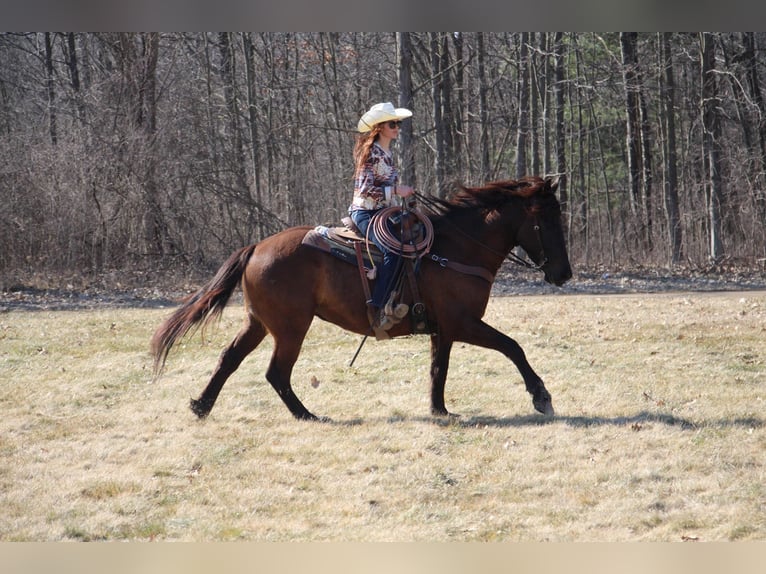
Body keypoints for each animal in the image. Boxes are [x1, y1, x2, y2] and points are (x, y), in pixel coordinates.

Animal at [152, 176, 568, 424]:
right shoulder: (464, 323)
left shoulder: (444, 329)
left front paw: (439, 410)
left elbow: (439, 369)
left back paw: (201, 405)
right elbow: (513, 347)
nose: (564, 274)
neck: (457, 248)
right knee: (276, 372)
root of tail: (256, 247)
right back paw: (307, 415)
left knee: (230, 358)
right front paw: (542, 397)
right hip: (290, 328)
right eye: (548, 220)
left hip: (258, 323)